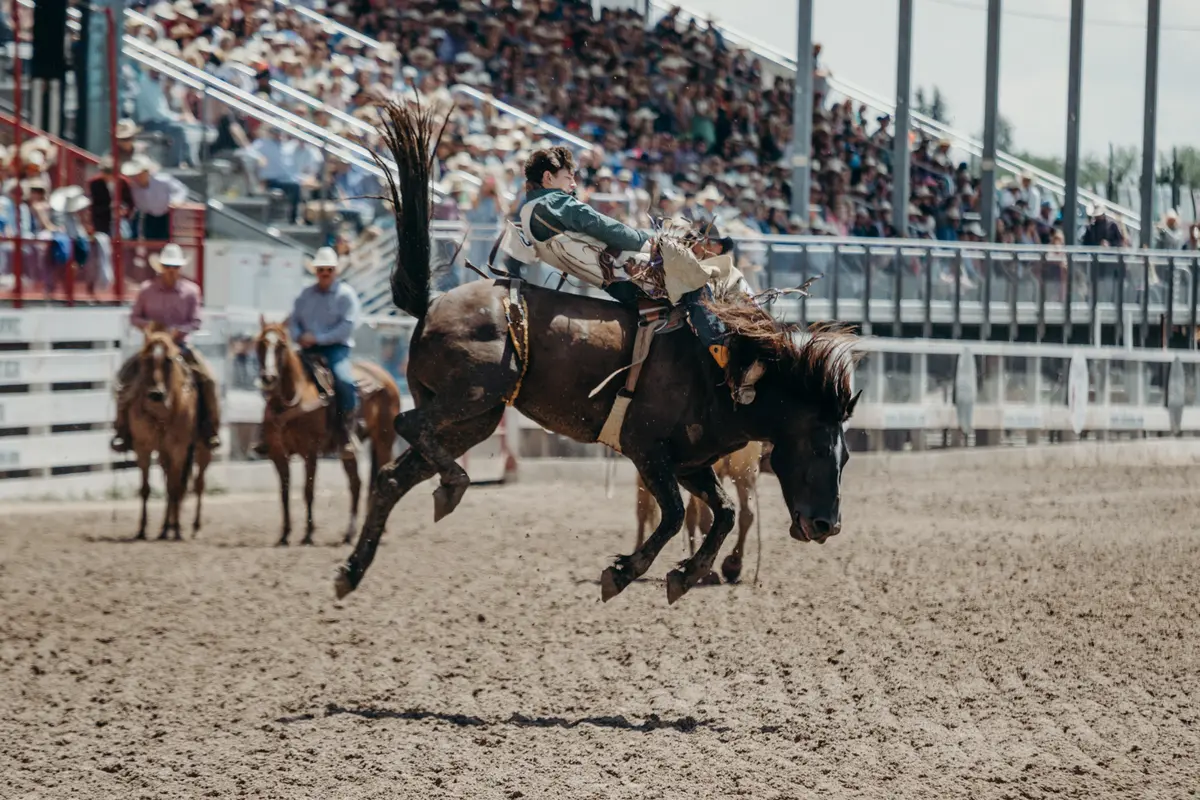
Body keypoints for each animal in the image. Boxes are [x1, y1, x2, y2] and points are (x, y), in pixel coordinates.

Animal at [126, 328, 213, 542]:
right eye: (146, 358)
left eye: (168, 360)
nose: (156, 393)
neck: (162, 413)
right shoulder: (143, 448)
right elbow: (146, 488)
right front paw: (142, 529)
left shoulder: (179, 449)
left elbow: (176, 488)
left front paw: (178, 529)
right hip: (164, 454)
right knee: (170, 484)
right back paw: (165, 528)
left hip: (202, 449)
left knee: (198, 484)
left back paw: (193, 528)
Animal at [253, 319, 403, 544]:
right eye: (260, 344)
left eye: (281, 345)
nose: (268, 377)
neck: (291, 400)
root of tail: (386, 378)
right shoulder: (278, 454)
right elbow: (284, 492)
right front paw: (285, 534)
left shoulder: (310, 452)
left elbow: (308, 490)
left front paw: (308, 534)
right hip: (347, 451)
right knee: (356, 483)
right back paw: (350, 533)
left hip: (384, 441)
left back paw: (379, 530)